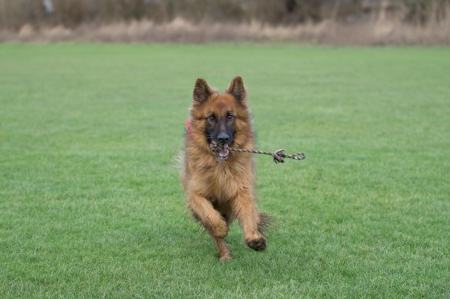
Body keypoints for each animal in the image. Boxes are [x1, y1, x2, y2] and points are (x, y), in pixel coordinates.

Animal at [181, 77, 268, 260]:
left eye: (230, 116)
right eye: (211, 117)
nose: (223, 139)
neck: (220, 166)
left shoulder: (241, 191)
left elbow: (248, 215)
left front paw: (254, 238)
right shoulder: (195, 193)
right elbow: (210, 216)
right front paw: (221, 229)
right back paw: (224, 253)